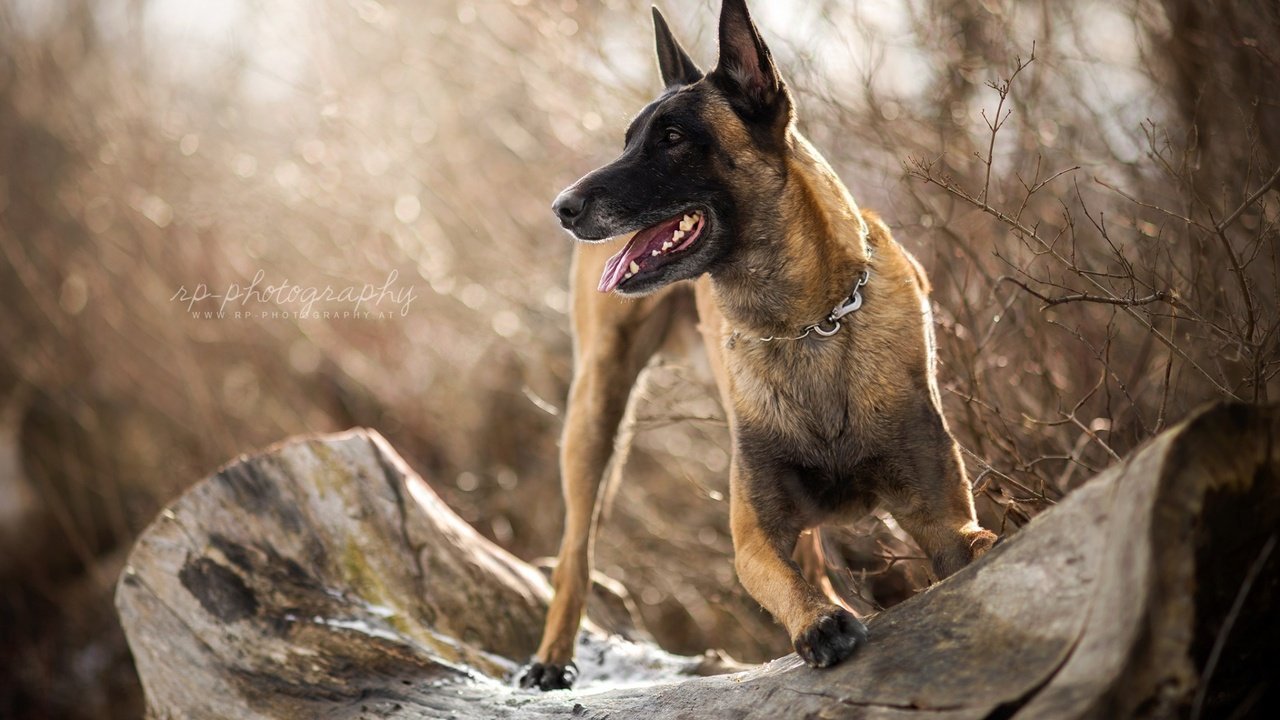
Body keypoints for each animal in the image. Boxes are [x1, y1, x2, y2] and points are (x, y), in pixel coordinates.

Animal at [514, 0, 993, 686]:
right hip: (596, 410)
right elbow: (775, 574)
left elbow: (975, 546)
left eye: (673, 139)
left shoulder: (943, 518)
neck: (810, 324)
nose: (562, 207)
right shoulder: (753, 536)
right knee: (577, 544)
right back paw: (552, 657)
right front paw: (817, 621)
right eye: (628, 140)